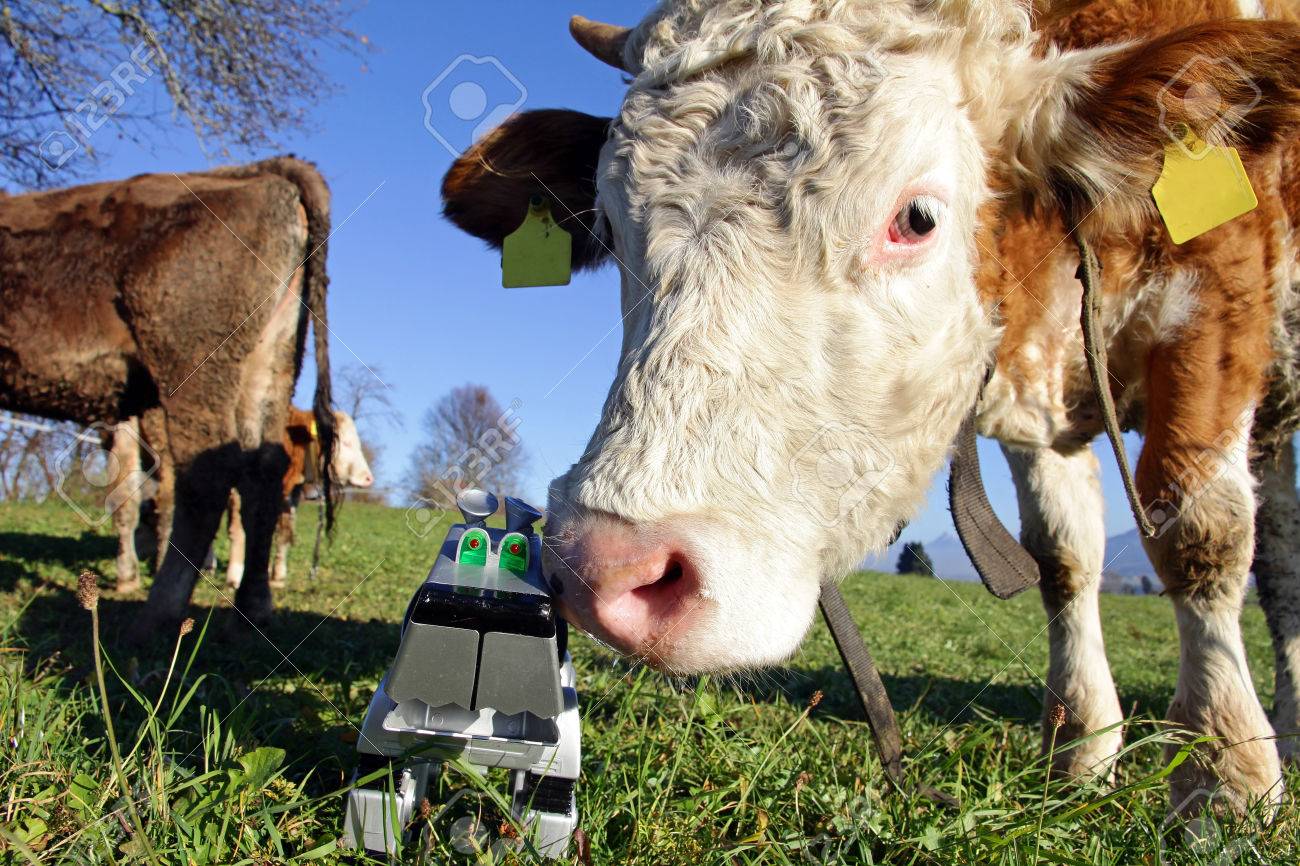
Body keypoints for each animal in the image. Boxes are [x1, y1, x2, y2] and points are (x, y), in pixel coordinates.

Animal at [0, 158, 338, 632]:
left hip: (193, 367)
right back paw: (251, 608)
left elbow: (132, 495)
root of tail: (268, 171)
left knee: (206, 477)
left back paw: (158, 612)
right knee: (262, 472)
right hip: (270, 361)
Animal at [440, 1, 1300, 816]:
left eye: (917, 218)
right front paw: (1083, 749)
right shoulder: (1039, 418)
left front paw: (1224, 775)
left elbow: (1199, 533)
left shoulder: (1218, 301)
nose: (605, 570)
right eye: (612, 228)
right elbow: (1065, 555)